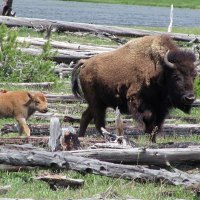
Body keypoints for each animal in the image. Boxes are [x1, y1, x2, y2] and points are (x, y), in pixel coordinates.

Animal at [71, 35, 199, 143]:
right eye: (176, 76)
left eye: (194, 76)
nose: (190, 98)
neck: (160, 68)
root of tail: (85, 63)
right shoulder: (137, 100)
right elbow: (148, 119)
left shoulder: (160, 108)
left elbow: (156, 125)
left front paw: (152, 141)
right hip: (97, 104)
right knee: (99, 123)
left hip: (98, 103)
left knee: (86, 117)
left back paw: (81, 136)